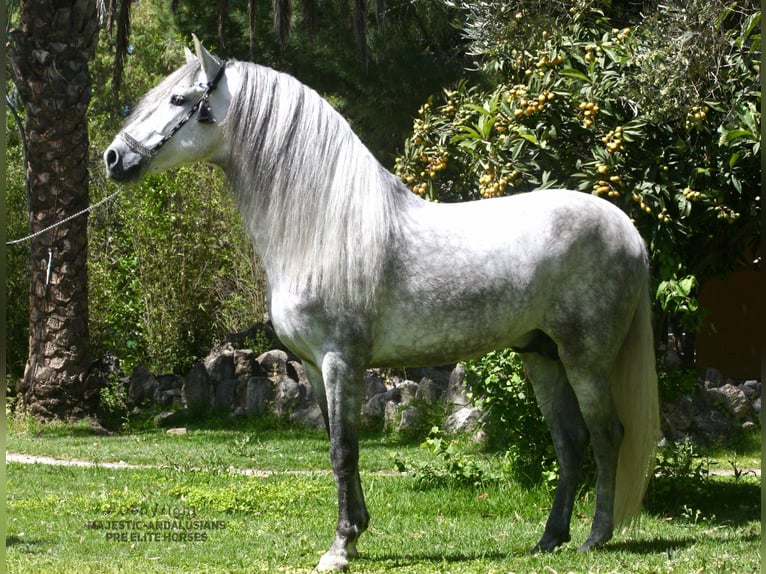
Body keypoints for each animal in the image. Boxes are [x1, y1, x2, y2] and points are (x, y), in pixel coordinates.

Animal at [104, 36, 660, 571]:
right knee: (570, 440)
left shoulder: (340, 360)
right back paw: (549, 539)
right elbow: (337, 447)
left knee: (608, 434)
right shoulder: (314, 366)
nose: (113, 158)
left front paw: (340, 547)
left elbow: (343, 451)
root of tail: (626, 227)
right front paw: (356, 532)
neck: (324, 227)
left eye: (179, 99)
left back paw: (594, 537)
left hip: (584, 359)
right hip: (541, 355)